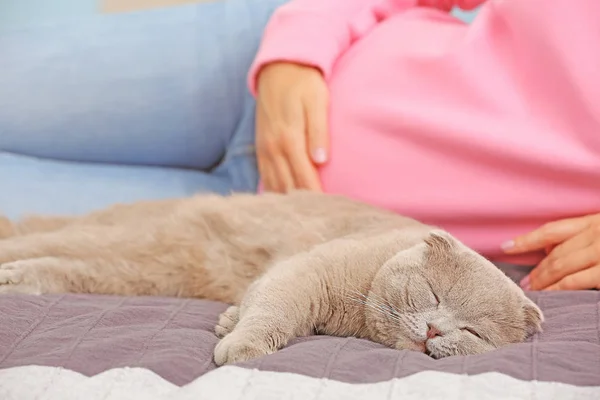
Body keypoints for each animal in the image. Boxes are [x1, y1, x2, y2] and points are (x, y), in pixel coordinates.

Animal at [0, 191, 544, 366]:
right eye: (432, 294)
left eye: (473, 332)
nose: (434, 329)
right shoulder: (305, 272)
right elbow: (273, 307)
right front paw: (241, 345)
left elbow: (253, 303)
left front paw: (228, 323)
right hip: (139, 238)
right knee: (38, 239)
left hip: (150, 268)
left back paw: (17, 280)